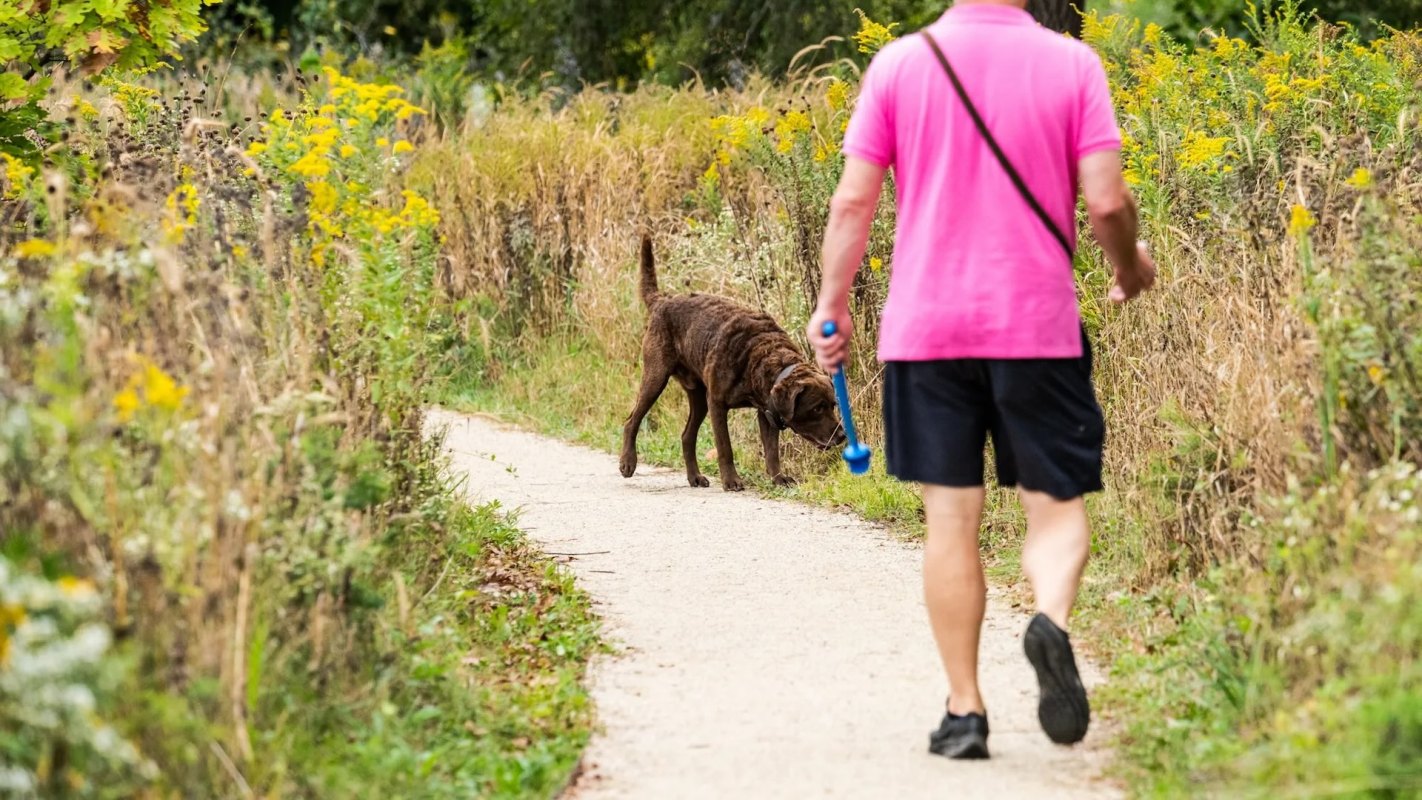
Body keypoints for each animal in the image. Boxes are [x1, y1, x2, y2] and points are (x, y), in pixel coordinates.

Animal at [617, 234, 836, 491]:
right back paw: (628, 462)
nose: (842, 435)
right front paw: (731, 480)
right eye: (817, 408)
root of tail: (663, 300)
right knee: (632, 420)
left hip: (698, 396)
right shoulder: (717, 404)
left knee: (687, 436)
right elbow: (725, 448)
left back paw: (695, 477)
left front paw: (778, 478)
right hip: (656, 377)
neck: (760, 358)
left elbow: (772, 451)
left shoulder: (766, 413)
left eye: (833, 405)